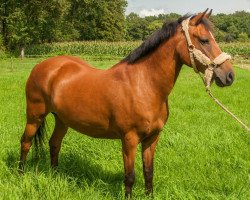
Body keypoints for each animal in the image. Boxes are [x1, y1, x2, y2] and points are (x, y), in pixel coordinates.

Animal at [19, 9, 234, 197]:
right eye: (204, 40)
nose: (229, 75)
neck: (144, 85)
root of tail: (43, 66)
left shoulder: (152, 138)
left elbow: (148, 171)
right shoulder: (129, 139)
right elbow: (130, 176)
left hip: (62, 120)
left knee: (54, 144)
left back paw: (55, 175)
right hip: (35, 116)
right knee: (26, 142)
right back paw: (20, 174)